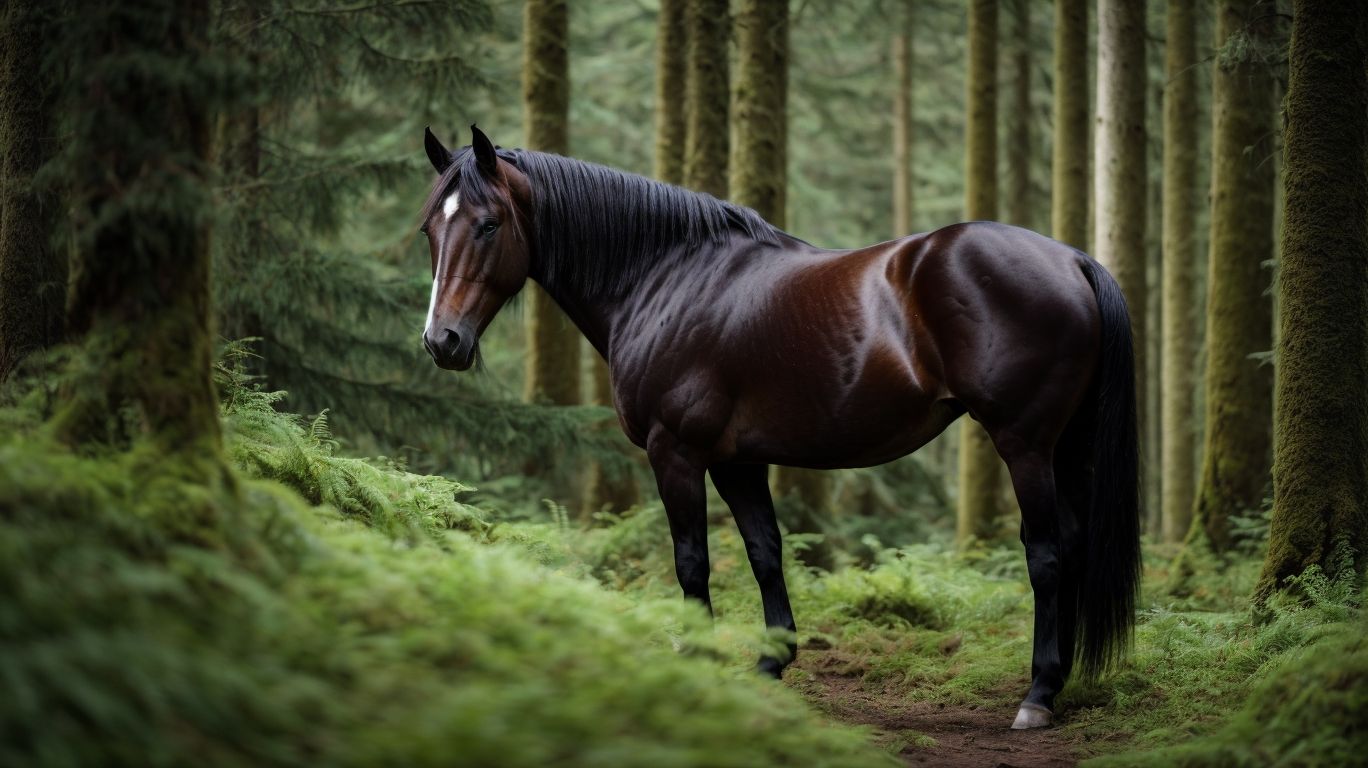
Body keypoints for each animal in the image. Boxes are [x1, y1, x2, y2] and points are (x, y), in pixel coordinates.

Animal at [417, 125, 1140, 730]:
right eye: (430, 228)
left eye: (488, 225)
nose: (441, 341)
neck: (665, 278)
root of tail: (1073, 261)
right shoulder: (738, 460)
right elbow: (766, 552)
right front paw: (771, 661)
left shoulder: (677, 452)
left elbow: (692, 562)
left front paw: (696, 659)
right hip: (1065, 446)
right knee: (1074, 544)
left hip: (1025, 443)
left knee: (1047, 554)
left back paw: (1038, 695)